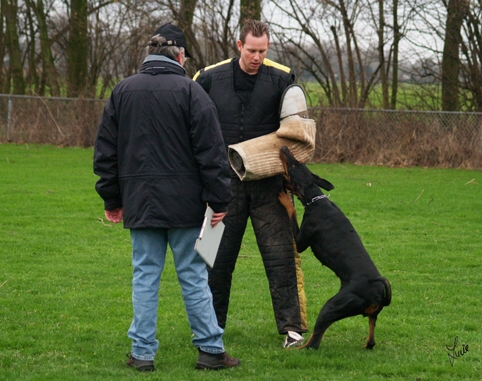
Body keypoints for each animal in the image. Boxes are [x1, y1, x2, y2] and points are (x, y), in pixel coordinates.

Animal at [276, 147, 390, 348]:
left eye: (294, 165)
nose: (284, 148)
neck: (316, 200)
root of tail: (377, 295)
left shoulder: (301, 240)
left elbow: (292, 211)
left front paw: (285, 199)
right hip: (369, 316)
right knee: (371, 340)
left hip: (331, 307)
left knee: (314, 343)